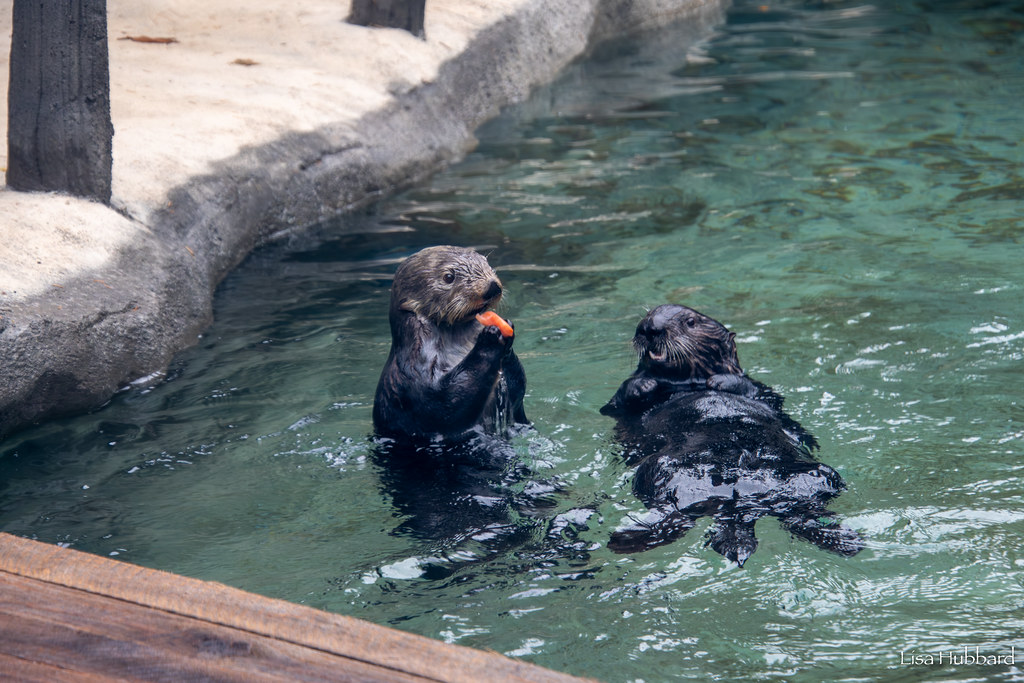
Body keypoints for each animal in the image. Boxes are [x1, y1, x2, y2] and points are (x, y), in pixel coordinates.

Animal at [373, 245, 528, 442]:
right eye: (448, 277)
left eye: (487, 264)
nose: (492, 287)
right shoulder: (411, 376)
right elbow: (445, 405)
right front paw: (491, 337)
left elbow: (517, 396)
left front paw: (507, 331)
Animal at [601, 304, 862, 566]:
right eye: (648, 314)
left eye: (690, 322)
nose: (650, 327)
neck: (686, 382)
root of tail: (740, 502)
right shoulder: (621, 412)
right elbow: (617, 403)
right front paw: (644, 385)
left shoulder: (763, 391)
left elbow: (758, 393)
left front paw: (719, 381)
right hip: (660, 470)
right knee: (673, 513)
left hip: (817, 476)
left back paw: (845, 541)